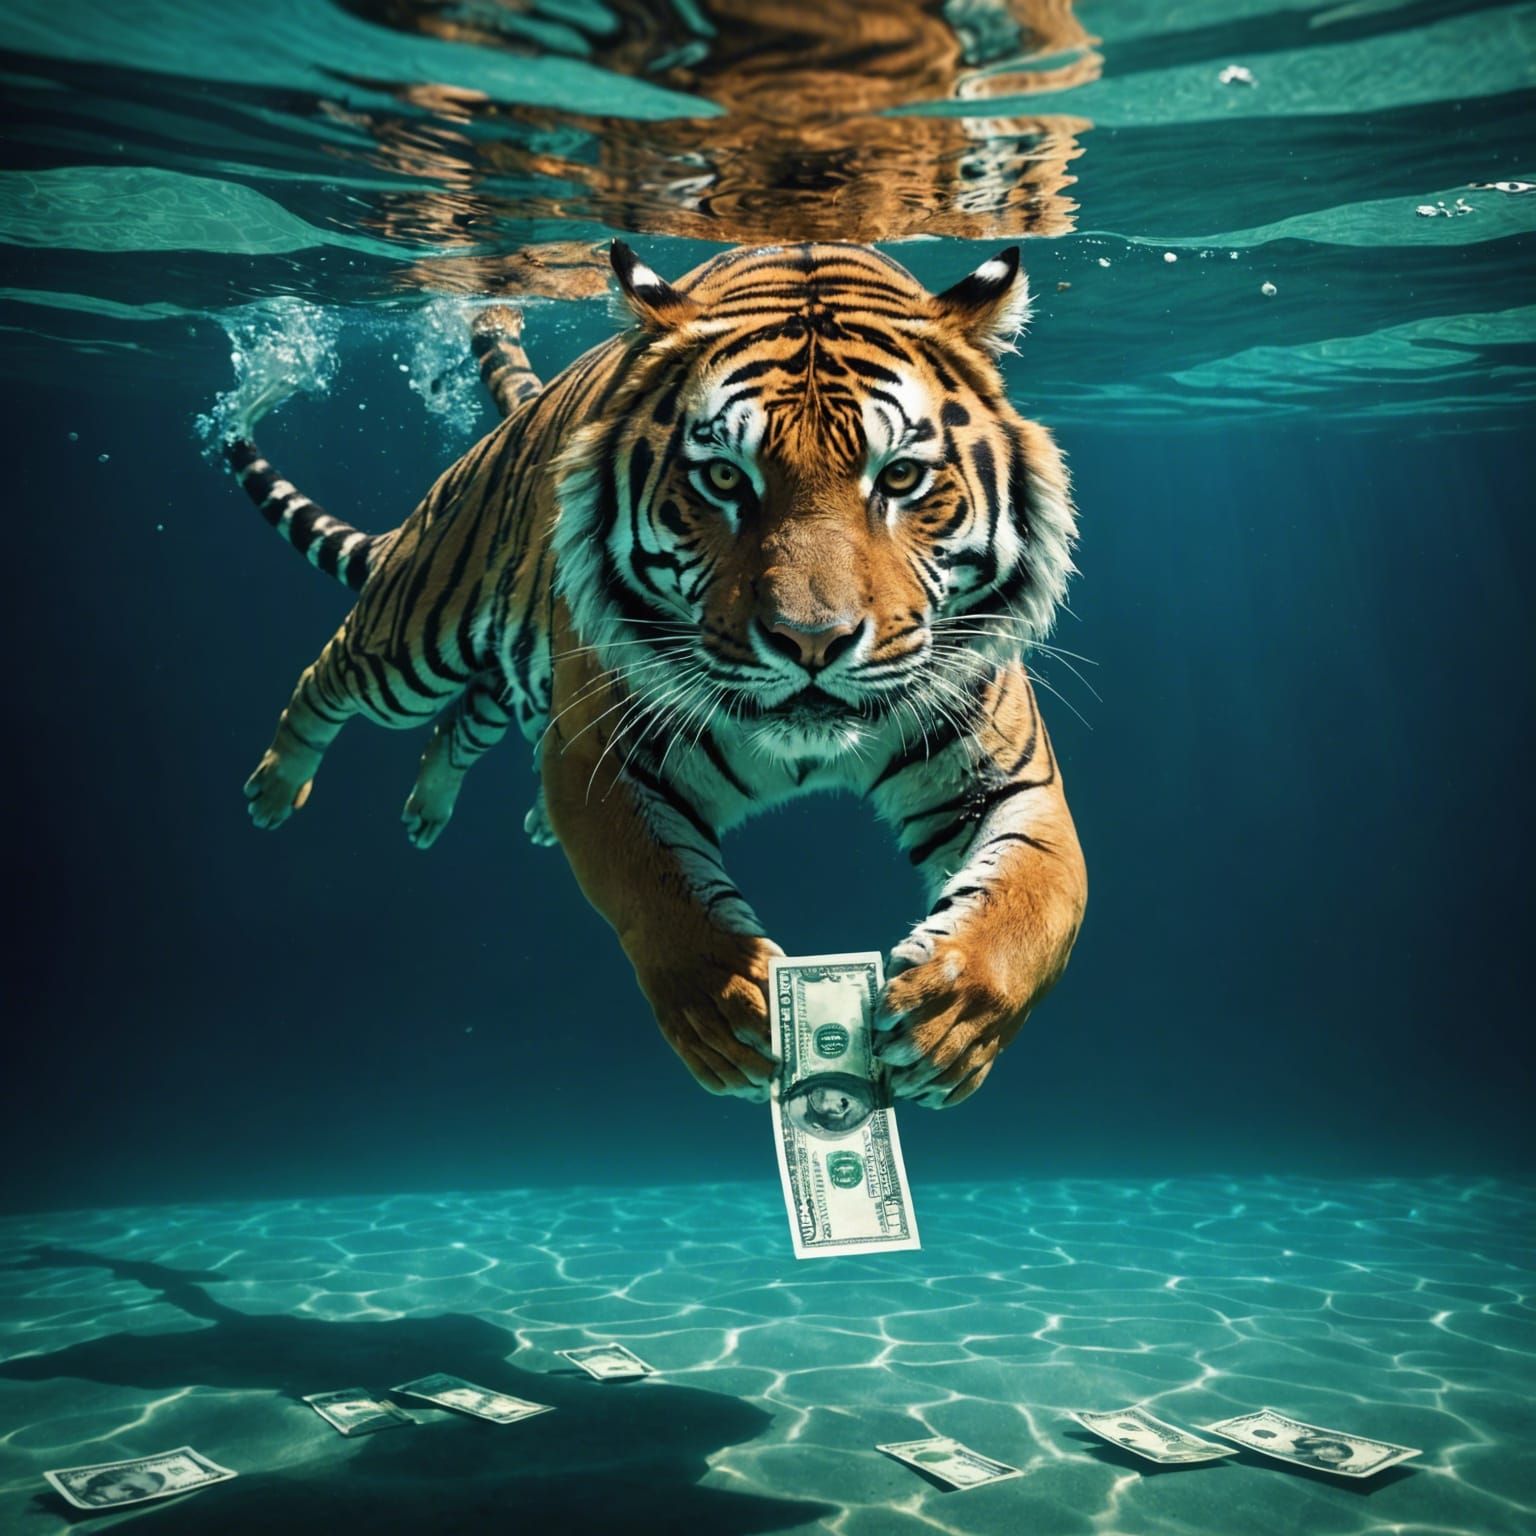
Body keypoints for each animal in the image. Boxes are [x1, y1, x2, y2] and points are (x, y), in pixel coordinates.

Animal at [226, 241, 1087, 1110]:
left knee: (465, 719)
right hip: (414, 637)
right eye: (726, 479)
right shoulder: (600, 759)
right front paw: (726, 1006)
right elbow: (653, 888)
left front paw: (949, 1020)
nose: (811, 641)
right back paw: (273, 789)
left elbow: (1040, 896)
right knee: (331, 673)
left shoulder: (1012, 776)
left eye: (902, 478)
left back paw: (429, 813)